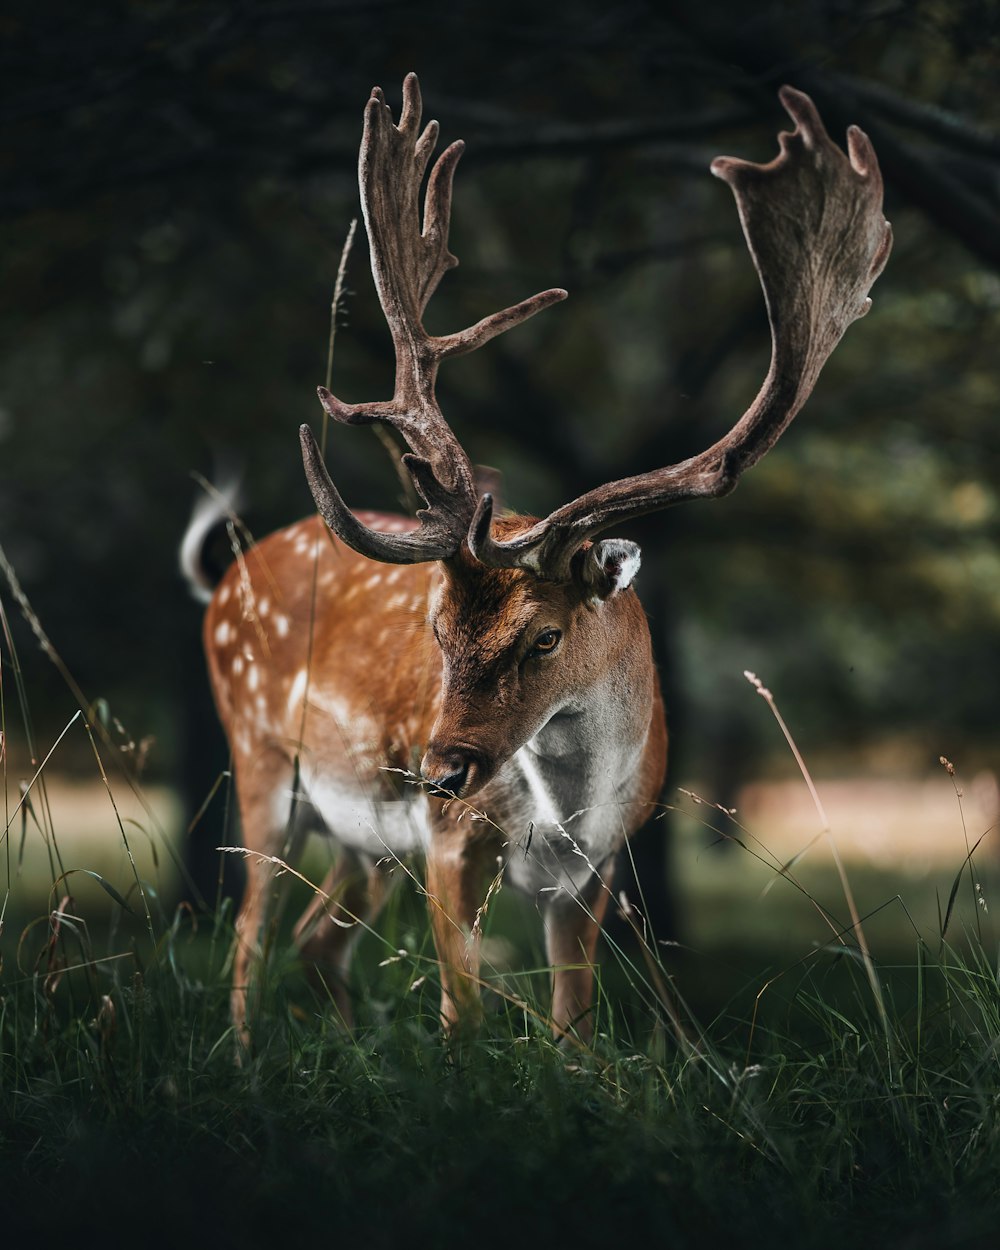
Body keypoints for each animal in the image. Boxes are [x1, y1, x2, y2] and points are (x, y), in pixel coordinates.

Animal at [185, 73, 890, 1050]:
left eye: (545, 637)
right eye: (437, 629)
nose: (439, 771)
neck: (564, 816)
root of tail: (224, 582)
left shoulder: (598, 871)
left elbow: (575, 1027)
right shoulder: (451, 842)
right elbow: (464, 1012)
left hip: (363, 838)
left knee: (313, 935)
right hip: (258, 760)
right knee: (247, 936)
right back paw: (248, 1056)